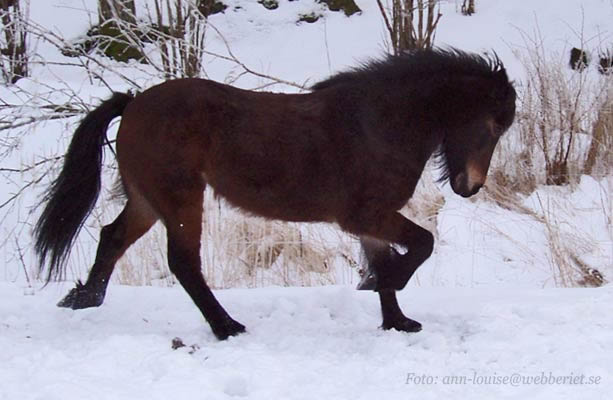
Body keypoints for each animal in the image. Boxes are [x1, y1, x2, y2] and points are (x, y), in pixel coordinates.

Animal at [34, 48, 516, 340]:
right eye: (493, 125)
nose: (470, 187)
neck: (377, 125)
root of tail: (133, 102)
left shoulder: (372, 221)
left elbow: (385, 260)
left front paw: (397, 321)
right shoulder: (367, 215)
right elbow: (421, 245)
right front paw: (389, 282)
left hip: (147, 199)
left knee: (112, 237)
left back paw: (83, 300)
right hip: (179, 197)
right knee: (183, 263)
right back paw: (227, 327)